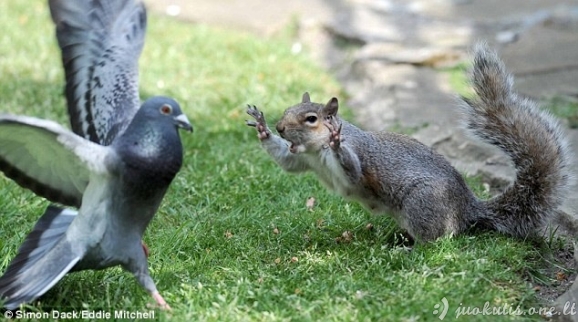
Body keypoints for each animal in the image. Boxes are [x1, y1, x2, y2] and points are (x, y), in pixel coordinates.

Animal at [246, 44, 572, 242]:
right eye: (288, 109)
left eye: (311, 119)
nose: (280, 127)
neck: (315, 151)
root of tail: (468, 210)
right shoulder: (302, 158)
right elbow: (288, 163)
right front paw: (262, 128)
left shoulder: (358, 158)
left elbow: (353, 170)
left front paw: (337, 142)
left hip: (421, 203)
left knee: (439, 239)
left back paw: (408, 247)